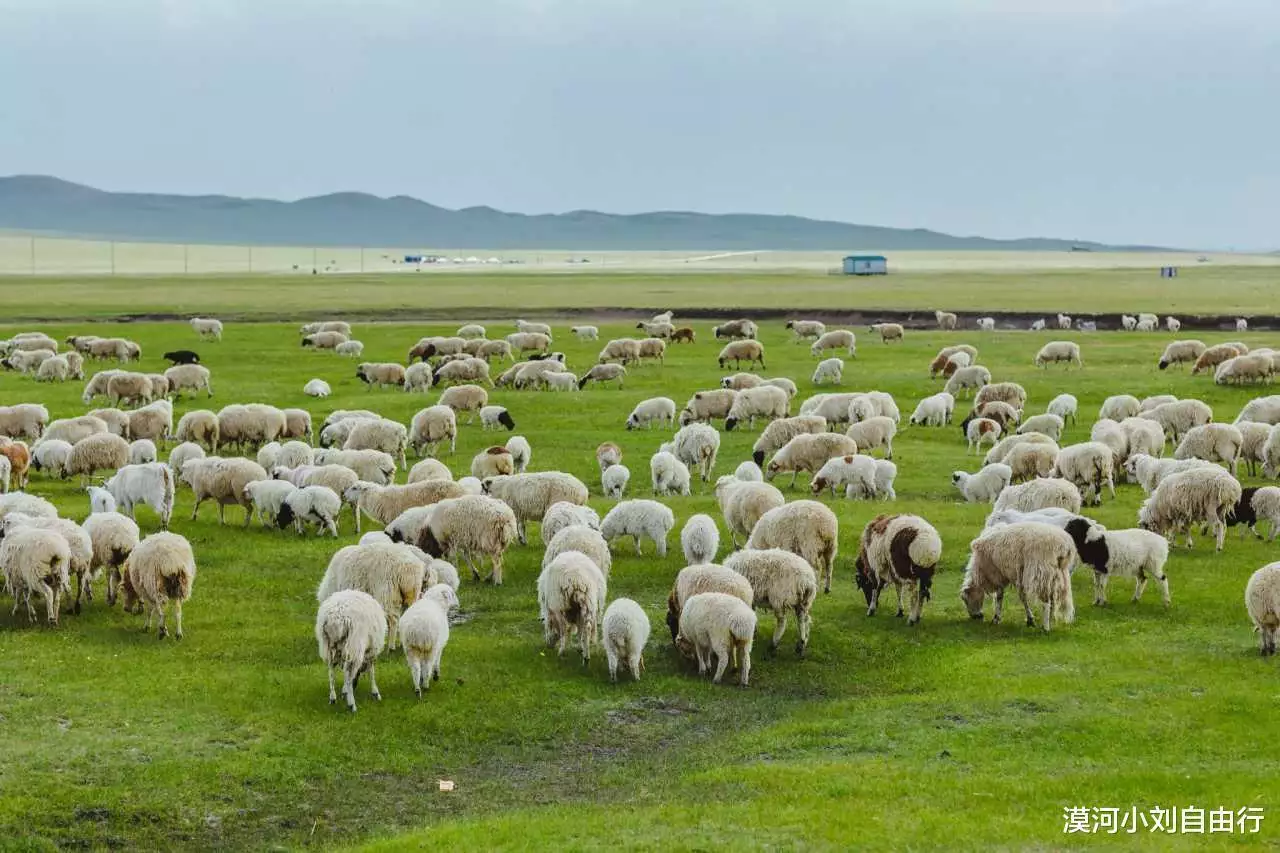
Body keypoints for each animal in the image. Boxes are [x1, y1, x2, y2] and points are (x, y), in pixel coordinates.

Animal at [313, 584, 384, 712]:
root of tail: (336, 618)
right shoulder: (371, 650)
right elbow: (371, 671)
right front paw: (375, 692)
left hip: (329, 646)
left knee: (331, 672)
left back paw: (333, 698)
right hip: (354, 646)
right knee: (348, 675)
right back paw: (351, 703)